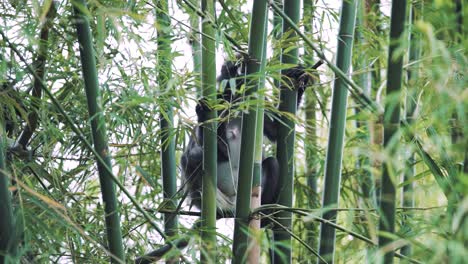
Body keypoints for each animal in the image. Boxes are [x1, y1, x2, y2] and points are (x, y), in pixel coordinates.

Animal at [181, 59, 312, 217]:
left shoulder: (258, 104)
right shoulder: (219, 102)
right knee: (191, 157)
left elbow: (276, 130)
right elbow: (206, 145)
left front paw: (298, 78)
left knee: (272, 163)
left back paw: (263, 214)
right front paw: (202, 112)